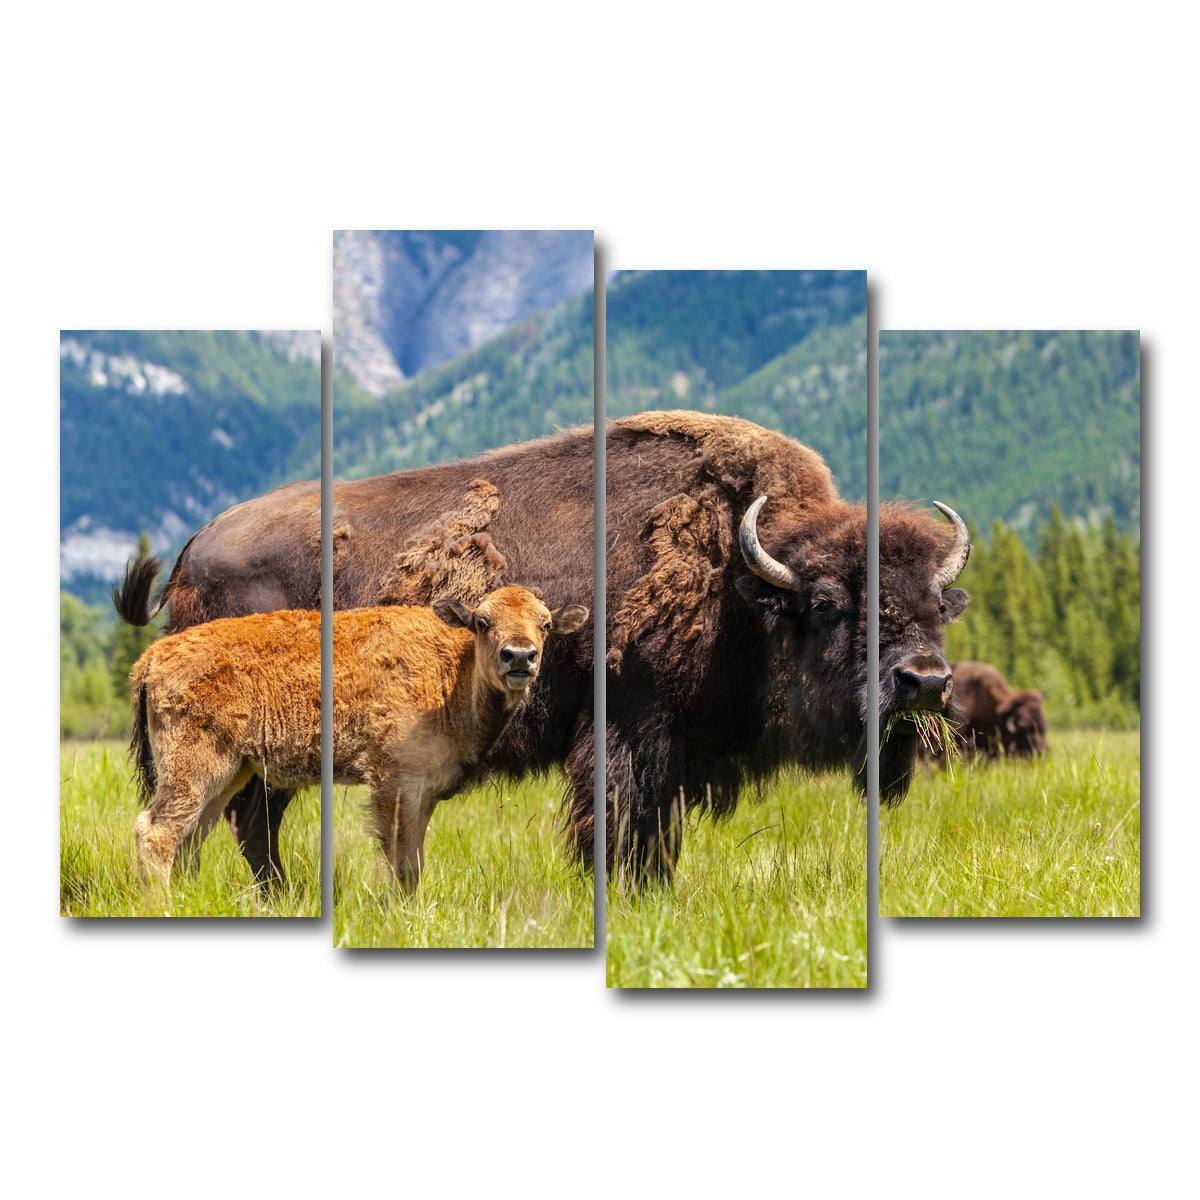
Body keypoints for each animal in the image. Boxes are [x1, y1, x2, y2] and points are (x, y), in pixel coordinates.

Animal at [130, 587, 588, 888]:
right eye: (482, 622)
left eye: (546, 624)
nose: (519, 657)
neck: (452, 672)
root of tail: (152, 656)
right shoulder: (394, 781)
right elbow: (401, 859)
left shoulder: (424, 790)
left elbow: (414, 858)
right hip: (194, 769)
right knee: (156, 832)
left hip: (229, 773)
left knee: (191, 837)